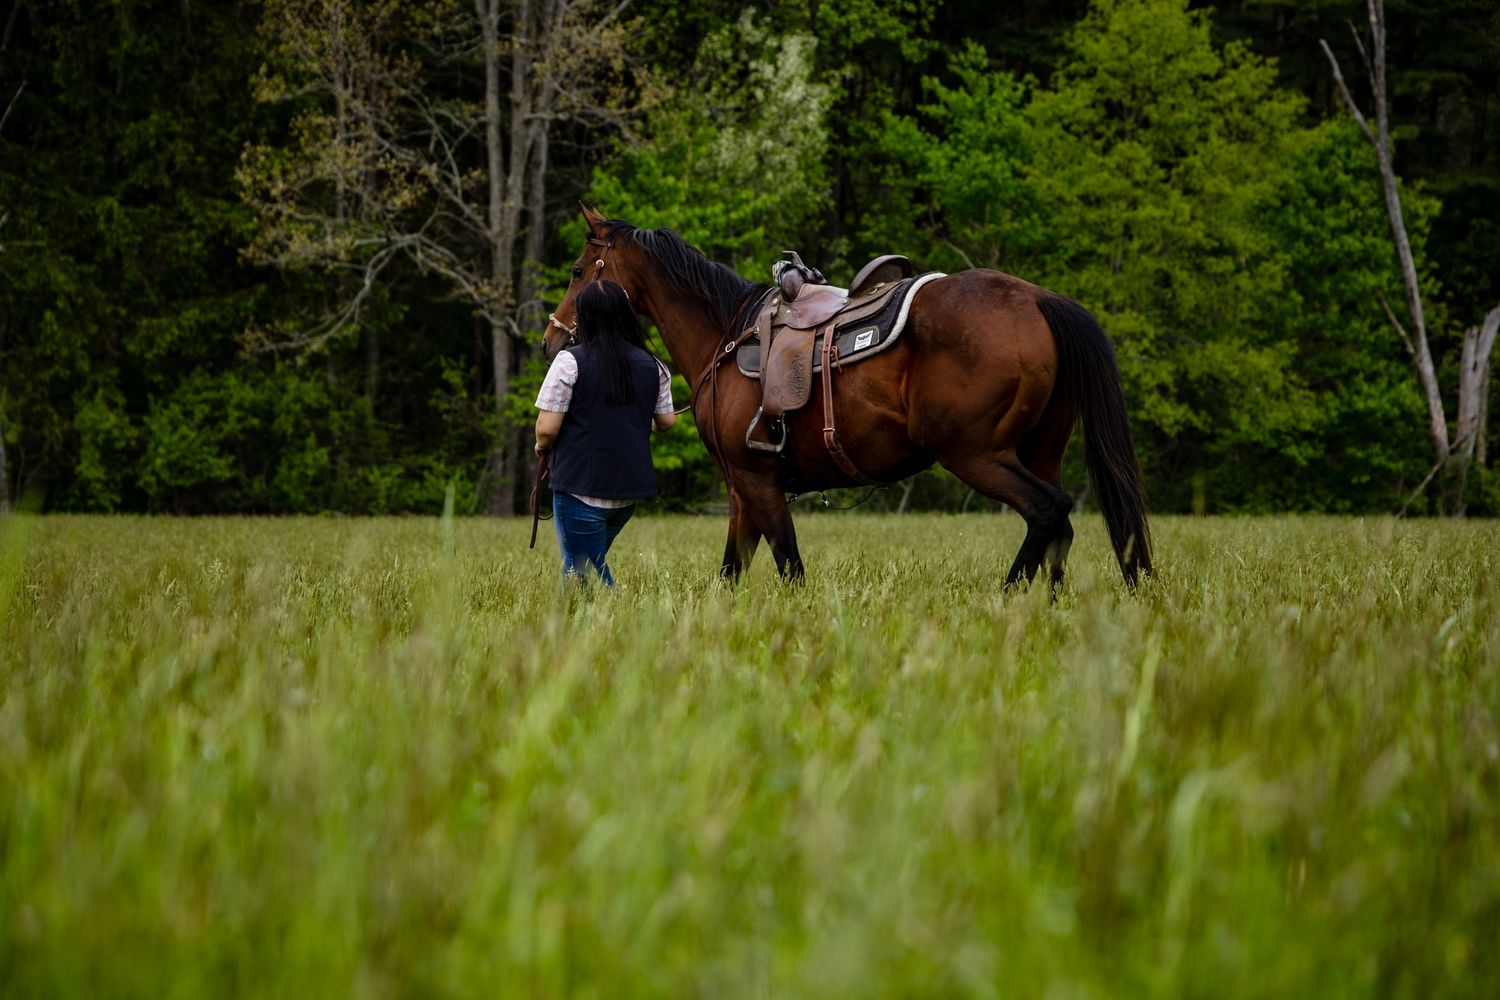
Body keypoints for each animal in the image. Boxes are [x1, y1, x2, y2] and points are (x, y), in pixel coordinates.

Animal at [543, 205, 1152, 588]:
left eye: (577, 269)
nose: (552, 338)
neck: (727, 333)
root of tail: (1037, 299)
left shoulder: (758, 481)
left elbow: (789, 566)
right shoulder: (742, 489)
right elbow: (732, 573)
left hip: (975, 454)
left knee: (1048, 513)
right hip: (1039, 451)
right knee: (1059, 532)